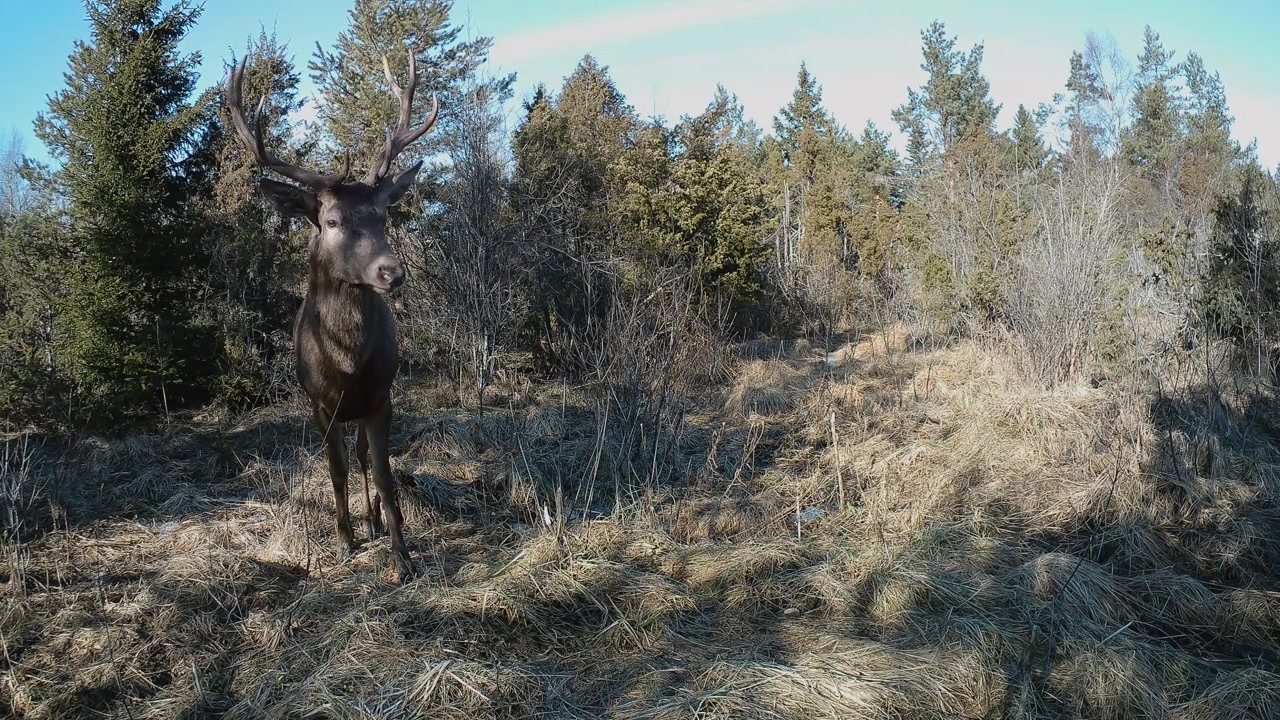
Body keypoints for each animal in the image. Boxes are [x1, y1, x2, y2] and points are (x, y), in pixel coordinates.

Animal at [224, 49, 440, 582]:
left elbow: (382, 472)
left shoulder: (381, 396)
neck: (345, 363)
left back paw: (376, 521)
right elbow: (335, 469)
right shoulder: (319, 403)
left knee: (364, 458)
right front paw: (343, 542)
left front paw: (401, 553)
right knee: (348, 458)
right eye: (333, 220)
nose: (391, 272)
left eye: (382, 215)